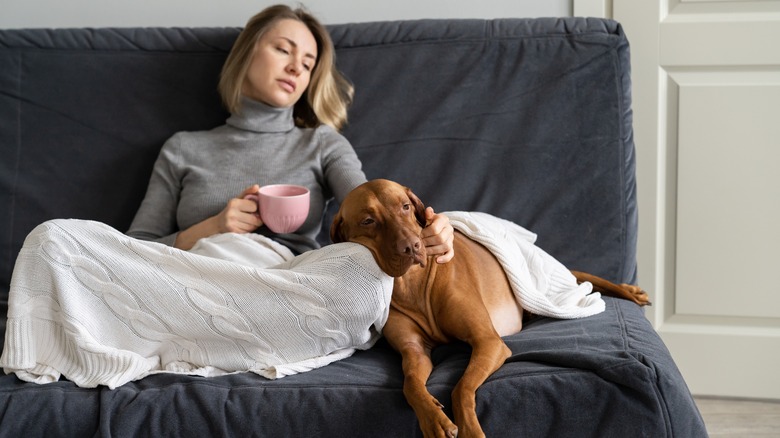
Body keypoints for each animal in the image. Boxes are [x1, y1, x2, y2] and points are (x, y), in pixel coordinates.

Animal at [330, 179, 652, 438]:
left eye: (406, 206)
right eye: (368, 221)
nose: (412, 247)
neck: (414, 284)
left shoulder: (488, 341)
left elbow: (461, 387)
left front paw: (470, 429)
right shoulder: (415, 352)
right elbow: (410, 384)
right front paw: (434, 418)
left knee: (582, 277)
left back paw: (631, 292)